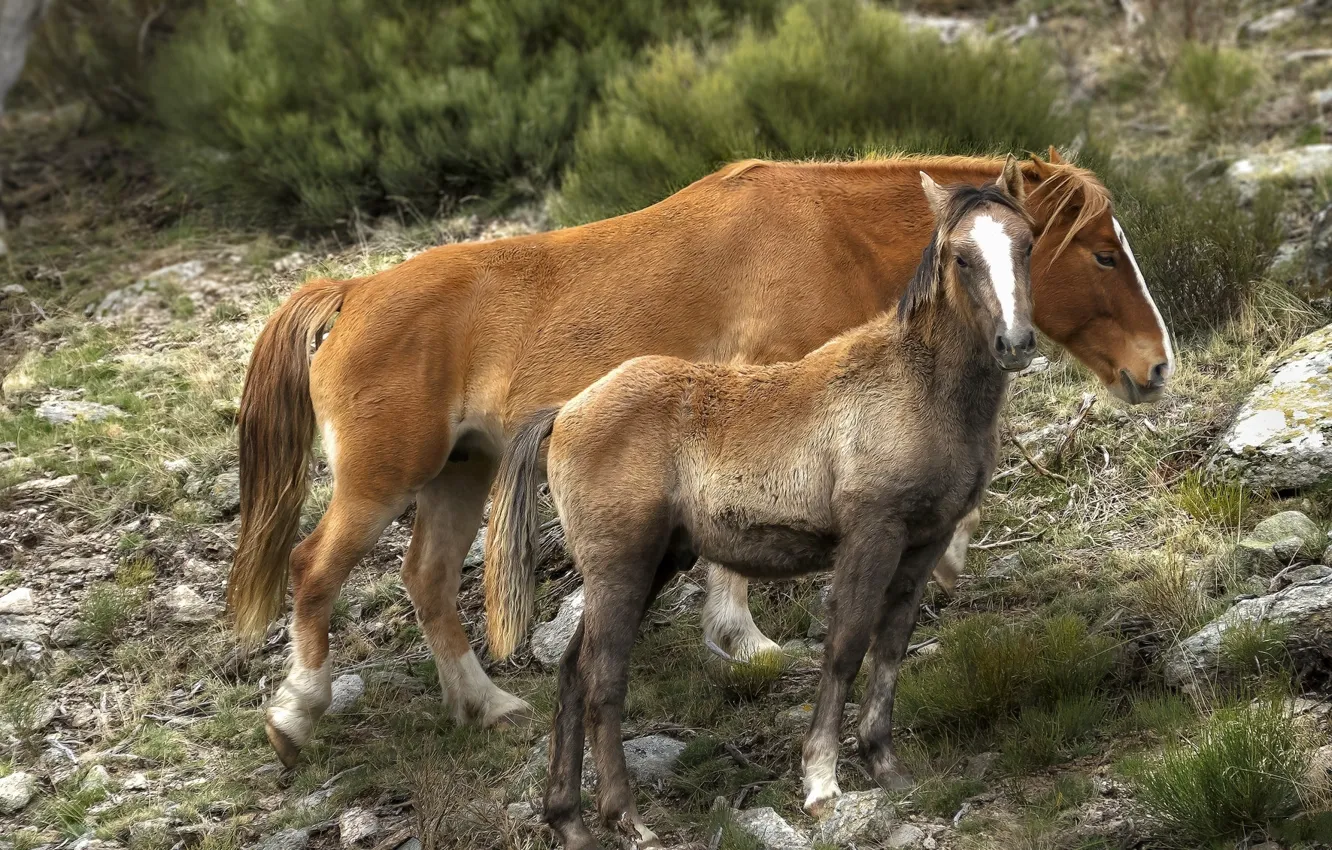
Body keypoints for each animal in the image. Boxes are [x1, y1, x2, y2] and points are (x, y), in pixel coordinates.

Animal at [228, 148, 1171, 767]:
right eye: (1101, 251)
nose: (1157, 366)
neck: (819, 232)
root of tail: (352, 293)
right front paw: (742, 638)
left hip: (459, 475)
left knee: (424, 580)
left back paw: (485, 704)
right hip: (382, 480)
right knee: (313, 570)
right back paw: (297, 713)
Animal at [485, 165, 1036, 849]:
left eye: (1027, 243)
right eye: (962, 256)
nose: (1015, 343)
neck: (920, 389)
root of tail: (566, 412)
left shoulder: (924, 542)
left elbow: (890, 647)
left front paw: (885, 766)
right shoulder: (872, 535)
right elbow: (847, 644)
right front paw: (822, 784)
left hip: (652, 567)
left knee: (570, 676)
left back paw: (570, 820)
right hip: (621, 570)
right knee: (602, 683)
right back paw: (628, 819)